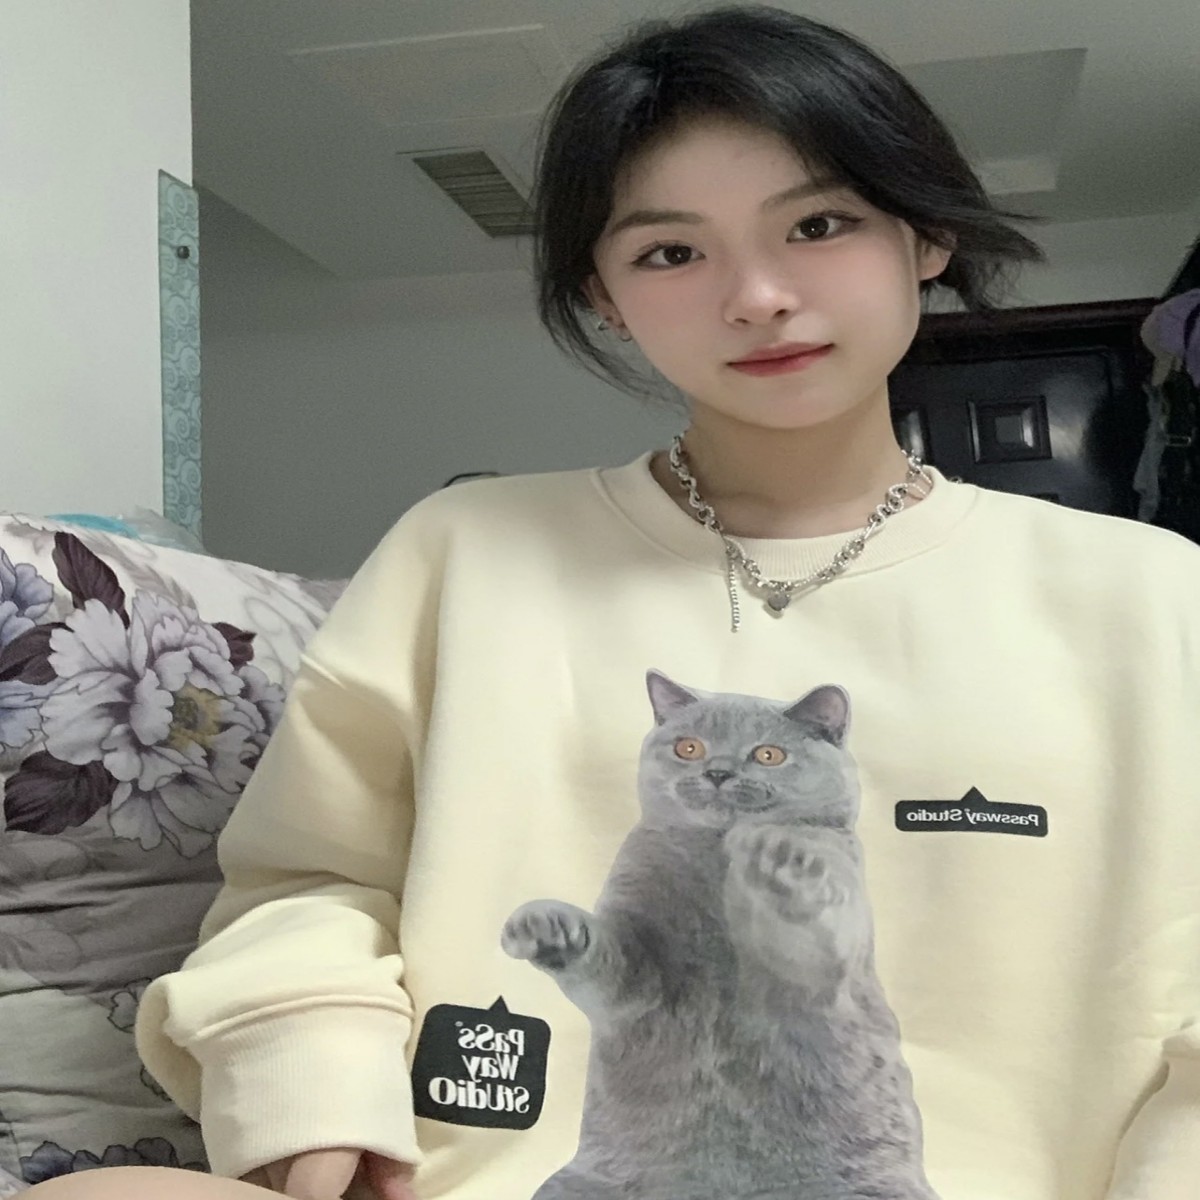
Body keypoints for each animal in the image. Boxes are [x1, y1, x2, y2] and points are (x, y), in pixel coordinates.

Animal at [501, 671, 939, 1200]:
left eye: (768, 754)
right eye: (689, 747)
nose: (718, 772)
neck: (713, 858)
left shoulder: (828, 951)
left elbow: (806, 936)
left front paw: (780, 855)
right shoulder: (639, 970)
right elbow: (610, 965)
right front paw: (547, 927)